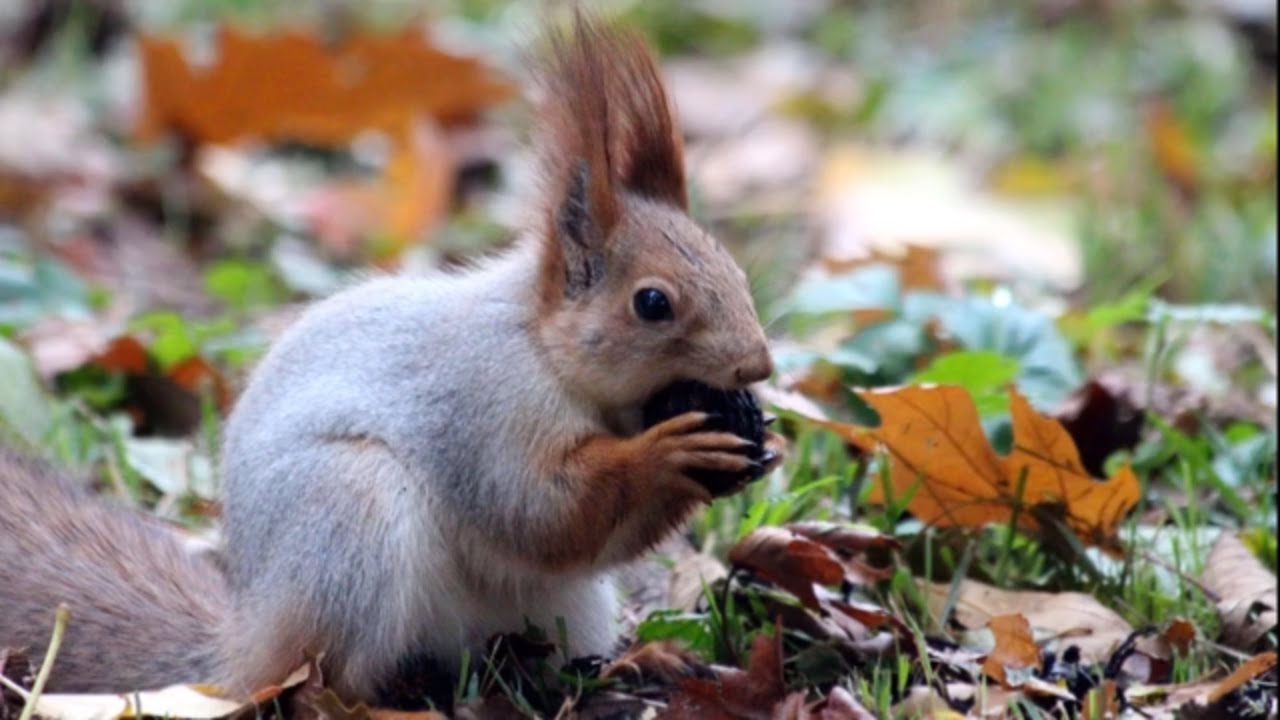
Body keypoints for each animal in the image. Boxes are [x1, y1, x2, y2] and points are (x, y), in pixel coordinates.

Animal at [0, 11, 778, 707]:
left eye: (736, 269)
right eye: (652, 303)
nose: (758, 367)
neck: (549, 355)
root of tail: (244, 650)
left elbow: (585, 537)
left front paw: (753, 445)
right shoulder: (484, 407)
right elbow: (538, 509)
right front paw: (667, 454)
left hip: (561, 605)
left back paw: (629, 664)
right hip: (348, 521)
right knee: (323, 678)